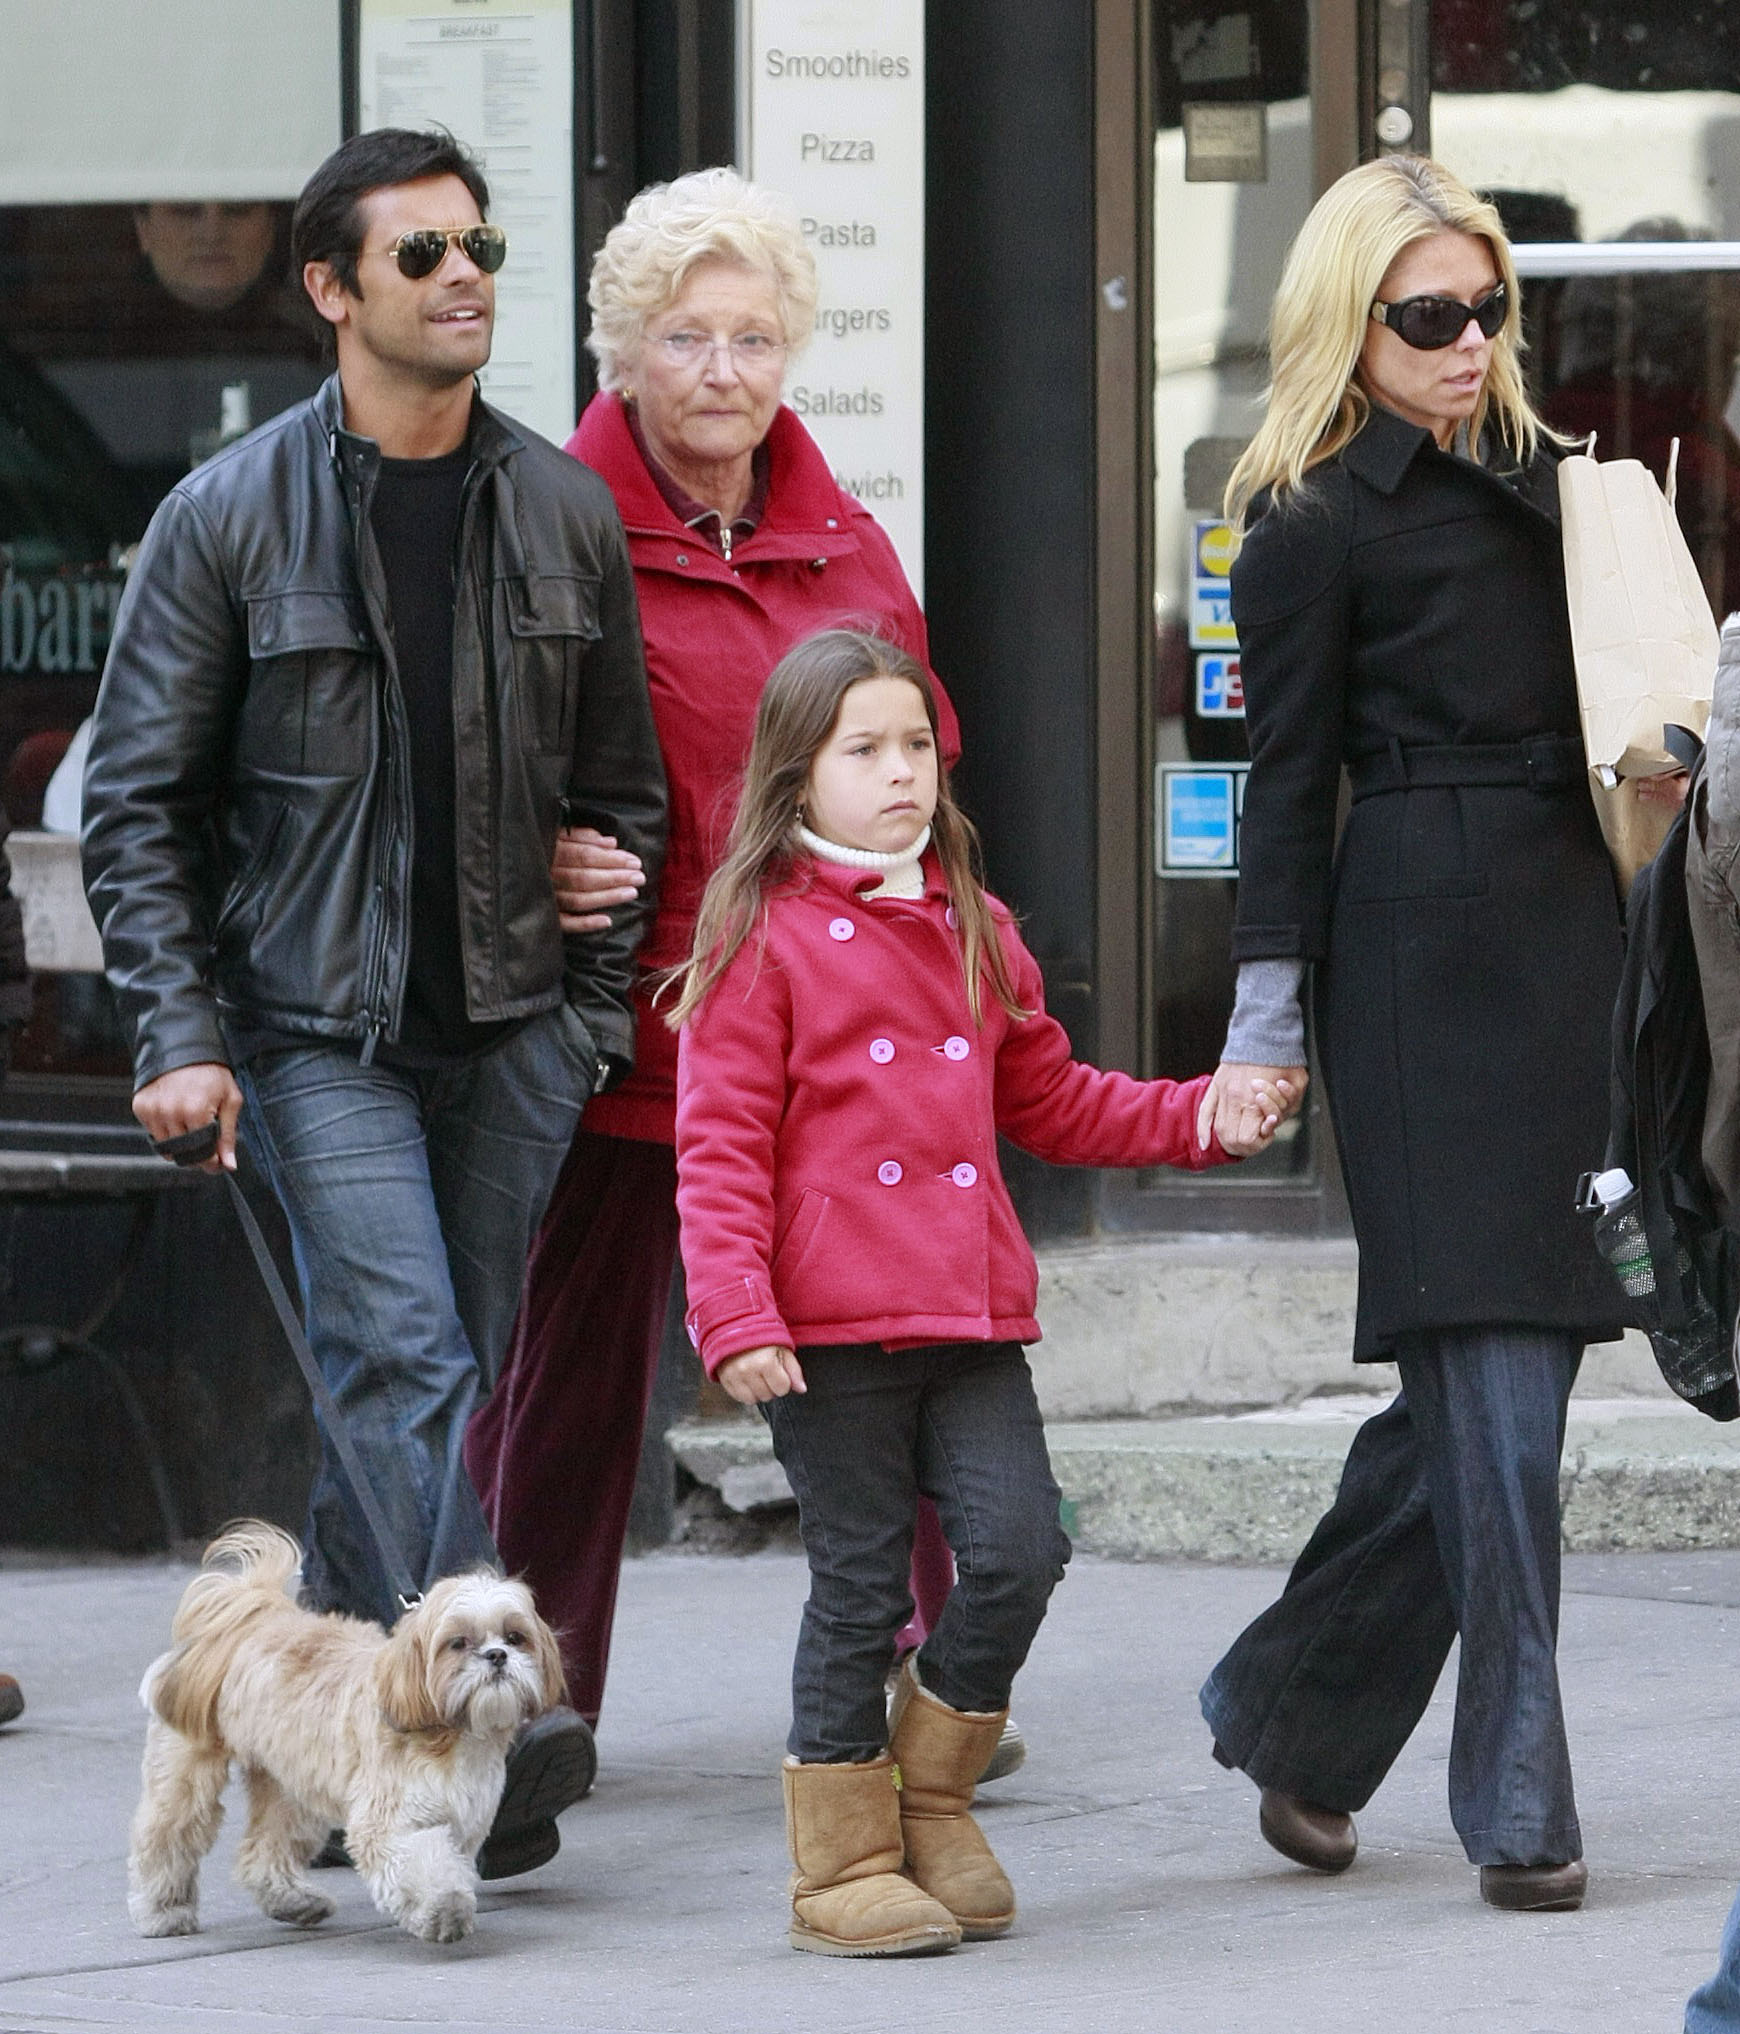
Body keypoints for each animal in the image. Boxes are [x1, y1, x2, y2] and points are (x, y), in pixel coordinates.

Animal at [129, 1529, 565, 1936]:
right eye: (457, 1643)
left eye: (515, 1637)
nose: (497, 1655)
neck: (446, 1734)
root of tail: (248, 1618)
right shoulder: (388, 1822)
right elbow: (422, 1865)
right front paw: (444, 1908)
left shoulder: (462, 1824)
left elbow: (446, 1860)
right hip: (187, 1778)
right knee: (168, 1838)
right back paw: (164, 1910)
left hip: (290, 1787)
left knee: (265, 1849)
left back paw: (294, 1901)